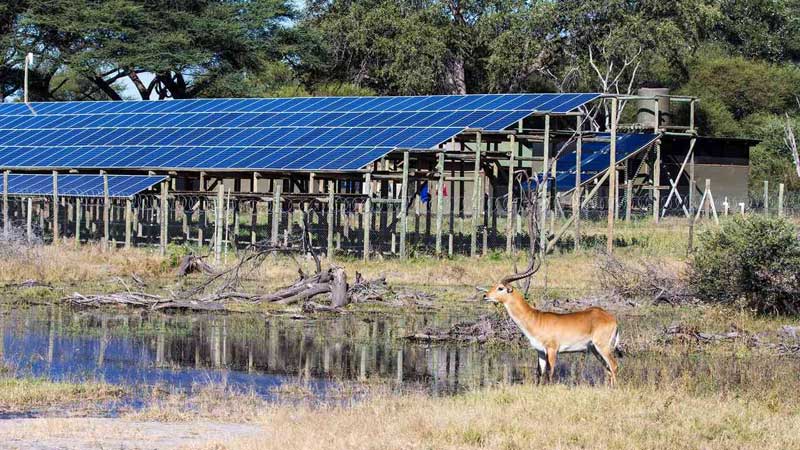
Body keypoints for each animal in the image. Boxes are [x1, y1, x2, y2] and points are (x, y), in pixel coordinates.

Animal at [484, 258, 620, 384]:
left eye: (500, 288)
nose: (485, 296)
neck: (535, 319)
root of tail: (612, 318)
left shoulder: (552, 350)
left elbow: (550, 373)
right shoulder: (540, 352)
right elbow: (540, 372)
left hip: (602, 347)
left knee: (614, 366)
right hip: (595, 349)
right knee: (608, 369)